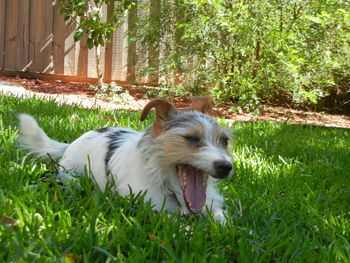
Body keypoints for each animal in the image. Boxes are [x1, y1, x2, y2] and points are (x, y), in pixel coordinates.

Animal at [17, 97, 234, 223]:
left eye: (224, 141)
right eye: (192, 139)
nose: (226, 167)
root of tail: (72, 143)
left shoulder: (211, 204)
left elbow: (223, 219)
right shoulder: (151, 207)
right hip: (68, 173)